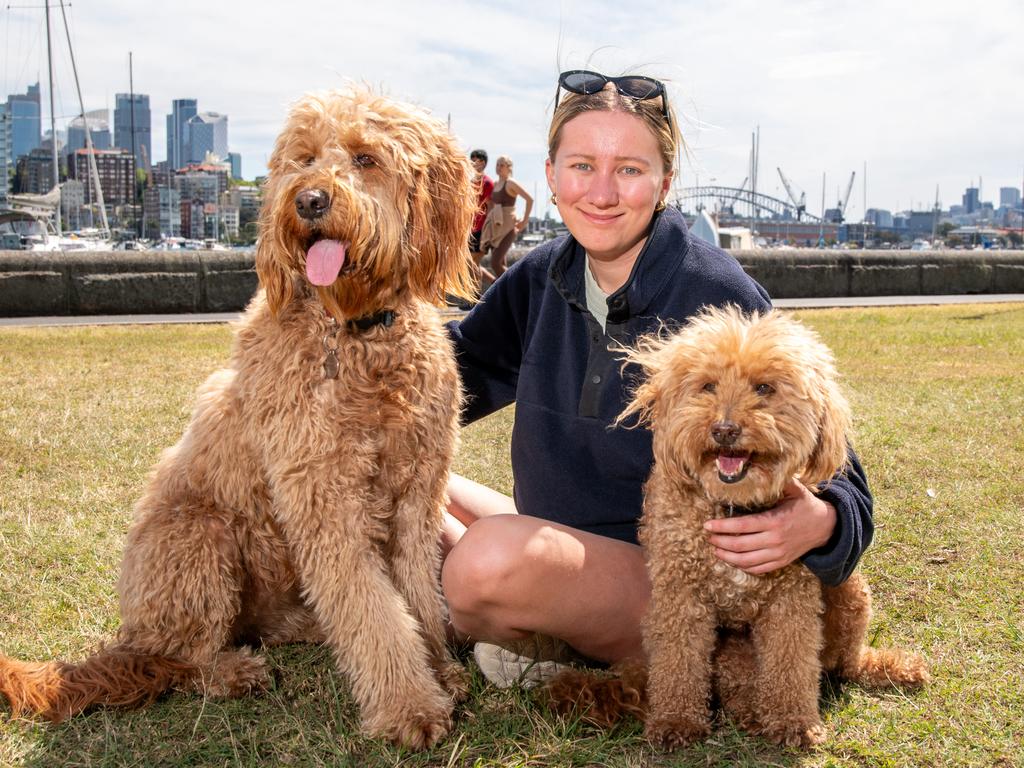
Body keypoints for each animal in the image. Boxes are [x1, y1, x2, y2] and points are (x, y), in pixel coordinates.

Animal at [0, 87, 479, 749]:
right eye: (304, 158)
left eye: (365, 157)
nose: (308, 200)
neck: (355, 334)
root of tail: (131, 639)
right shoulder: (326, 499)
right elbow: (373, 609)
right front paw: (409, 705)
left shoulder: (416, 493)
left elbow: (416, 594)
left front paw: (439, 670)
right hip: (202, 537)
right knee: (180, 659)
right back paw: (232, 671)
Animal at [548, 309, 933, 753]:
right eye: (708, 386)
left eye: (764, 388)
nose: (725, 429)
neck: (732, 505)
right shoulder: (681, 597)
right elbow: (679, 663)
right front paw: (676, 720)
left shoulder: (791, 599)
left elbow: (791, 664)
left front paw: (793, 722)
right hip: (731, 655)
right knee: (742, 687)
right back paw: (750, 712)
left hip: (849, 589)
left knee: (842, 663)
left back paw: (888, 667)